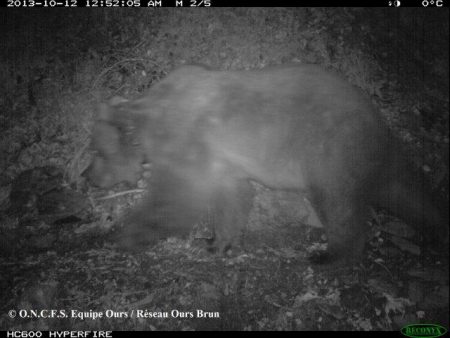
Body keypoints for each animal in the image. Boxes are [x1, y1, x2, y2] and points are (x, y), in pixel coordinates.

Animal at [84, 63, 446, 264]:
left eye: (97, 151)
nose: (88, 177)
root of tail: (381, 123)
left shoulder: (188, 139)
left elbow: (178, 199)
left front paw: (121, 236)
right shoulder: (222, 159)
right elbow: (233, 196)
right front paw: (218, 243)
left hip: (332, 151)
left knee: (339, 204)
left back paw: (329, 255)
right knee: (406, 193)